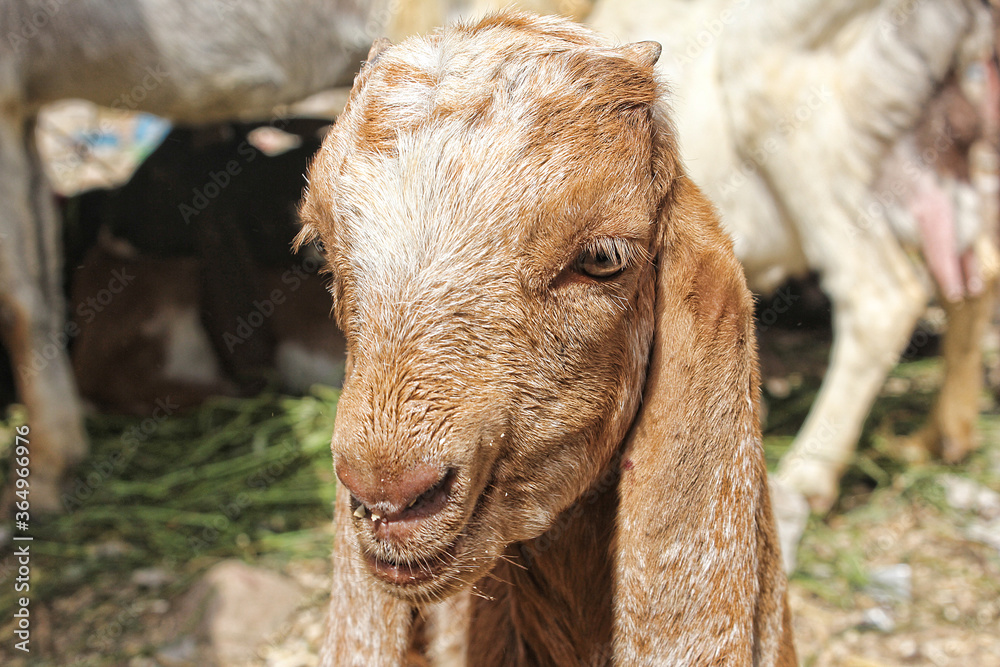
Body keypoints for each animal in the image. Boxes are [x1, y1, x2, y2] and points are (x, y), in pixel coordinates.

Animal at [590, 0, 997, 510]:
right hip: (935, 167)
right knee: (974, 276)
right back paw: (938, 439)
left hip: (801, 121)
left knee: (881, 298)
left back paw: (809, 473)